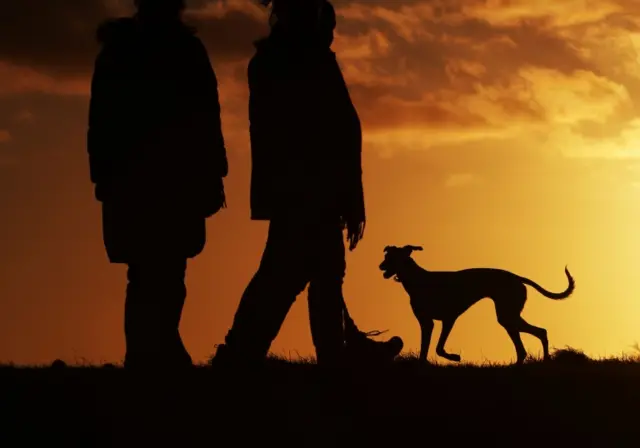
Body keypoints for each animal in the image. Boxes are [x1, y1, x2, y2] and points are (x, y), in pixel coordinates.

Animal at [380, 245, 576, 364]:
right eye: (387, 255)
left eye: (392, 257)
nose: (380, 266)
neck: (419, 279)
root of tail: (517, 277)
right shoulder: (426, 322)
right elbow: (425, 348)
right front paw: (424, 362)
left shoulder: (448, 319)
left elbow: (439, 348)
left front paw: (454, 357)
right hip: (508, 318)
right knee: (525, 347)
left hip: (507, 315)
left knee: (540, 332)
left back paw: (545, 361)